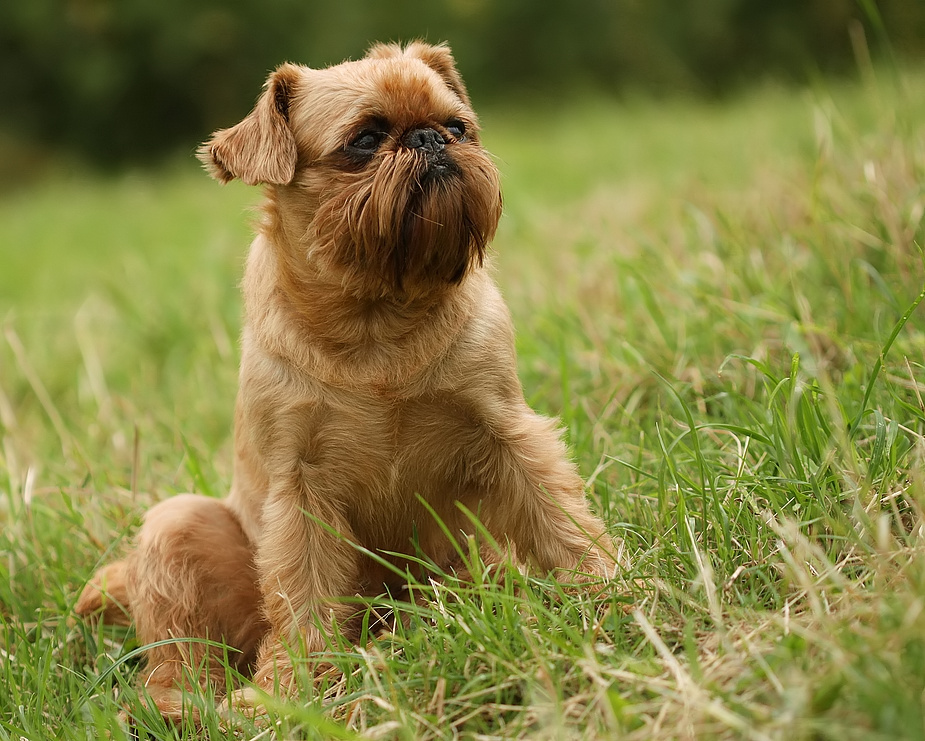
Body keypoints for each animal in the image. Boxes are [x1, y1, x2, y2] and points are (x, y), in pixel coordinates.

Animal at [76, 42, 612, 724]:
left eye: (458, 126)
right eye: (365, 140)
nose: (431, 140)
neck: (376, 320)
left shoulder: (508, 434)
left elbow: (558, 518)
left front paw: (611, 586)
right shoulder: (300, 488)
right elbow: (302, 594)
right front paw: (295, 690)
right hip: (180, 524)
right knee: (179, 657)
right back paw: (192, 706)